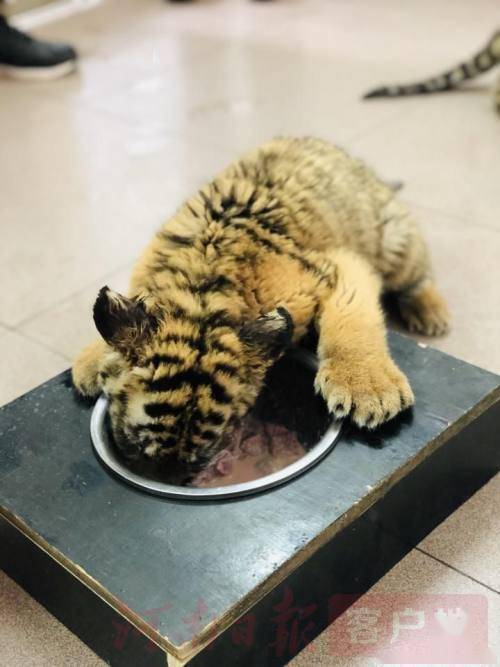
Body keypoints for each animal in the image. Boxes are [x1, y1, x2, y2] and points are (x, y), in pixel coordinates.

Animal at [72, 137, 450, 471]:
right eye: (136, 447)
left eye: (207, 449)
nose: (171, 477)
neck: (202, 297)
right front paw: (91, 361)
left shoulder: (335, 264)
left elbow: (352, 315)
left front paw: (367, 388)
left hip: (395, 242)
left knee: (418, 275)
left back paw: (431, 313)